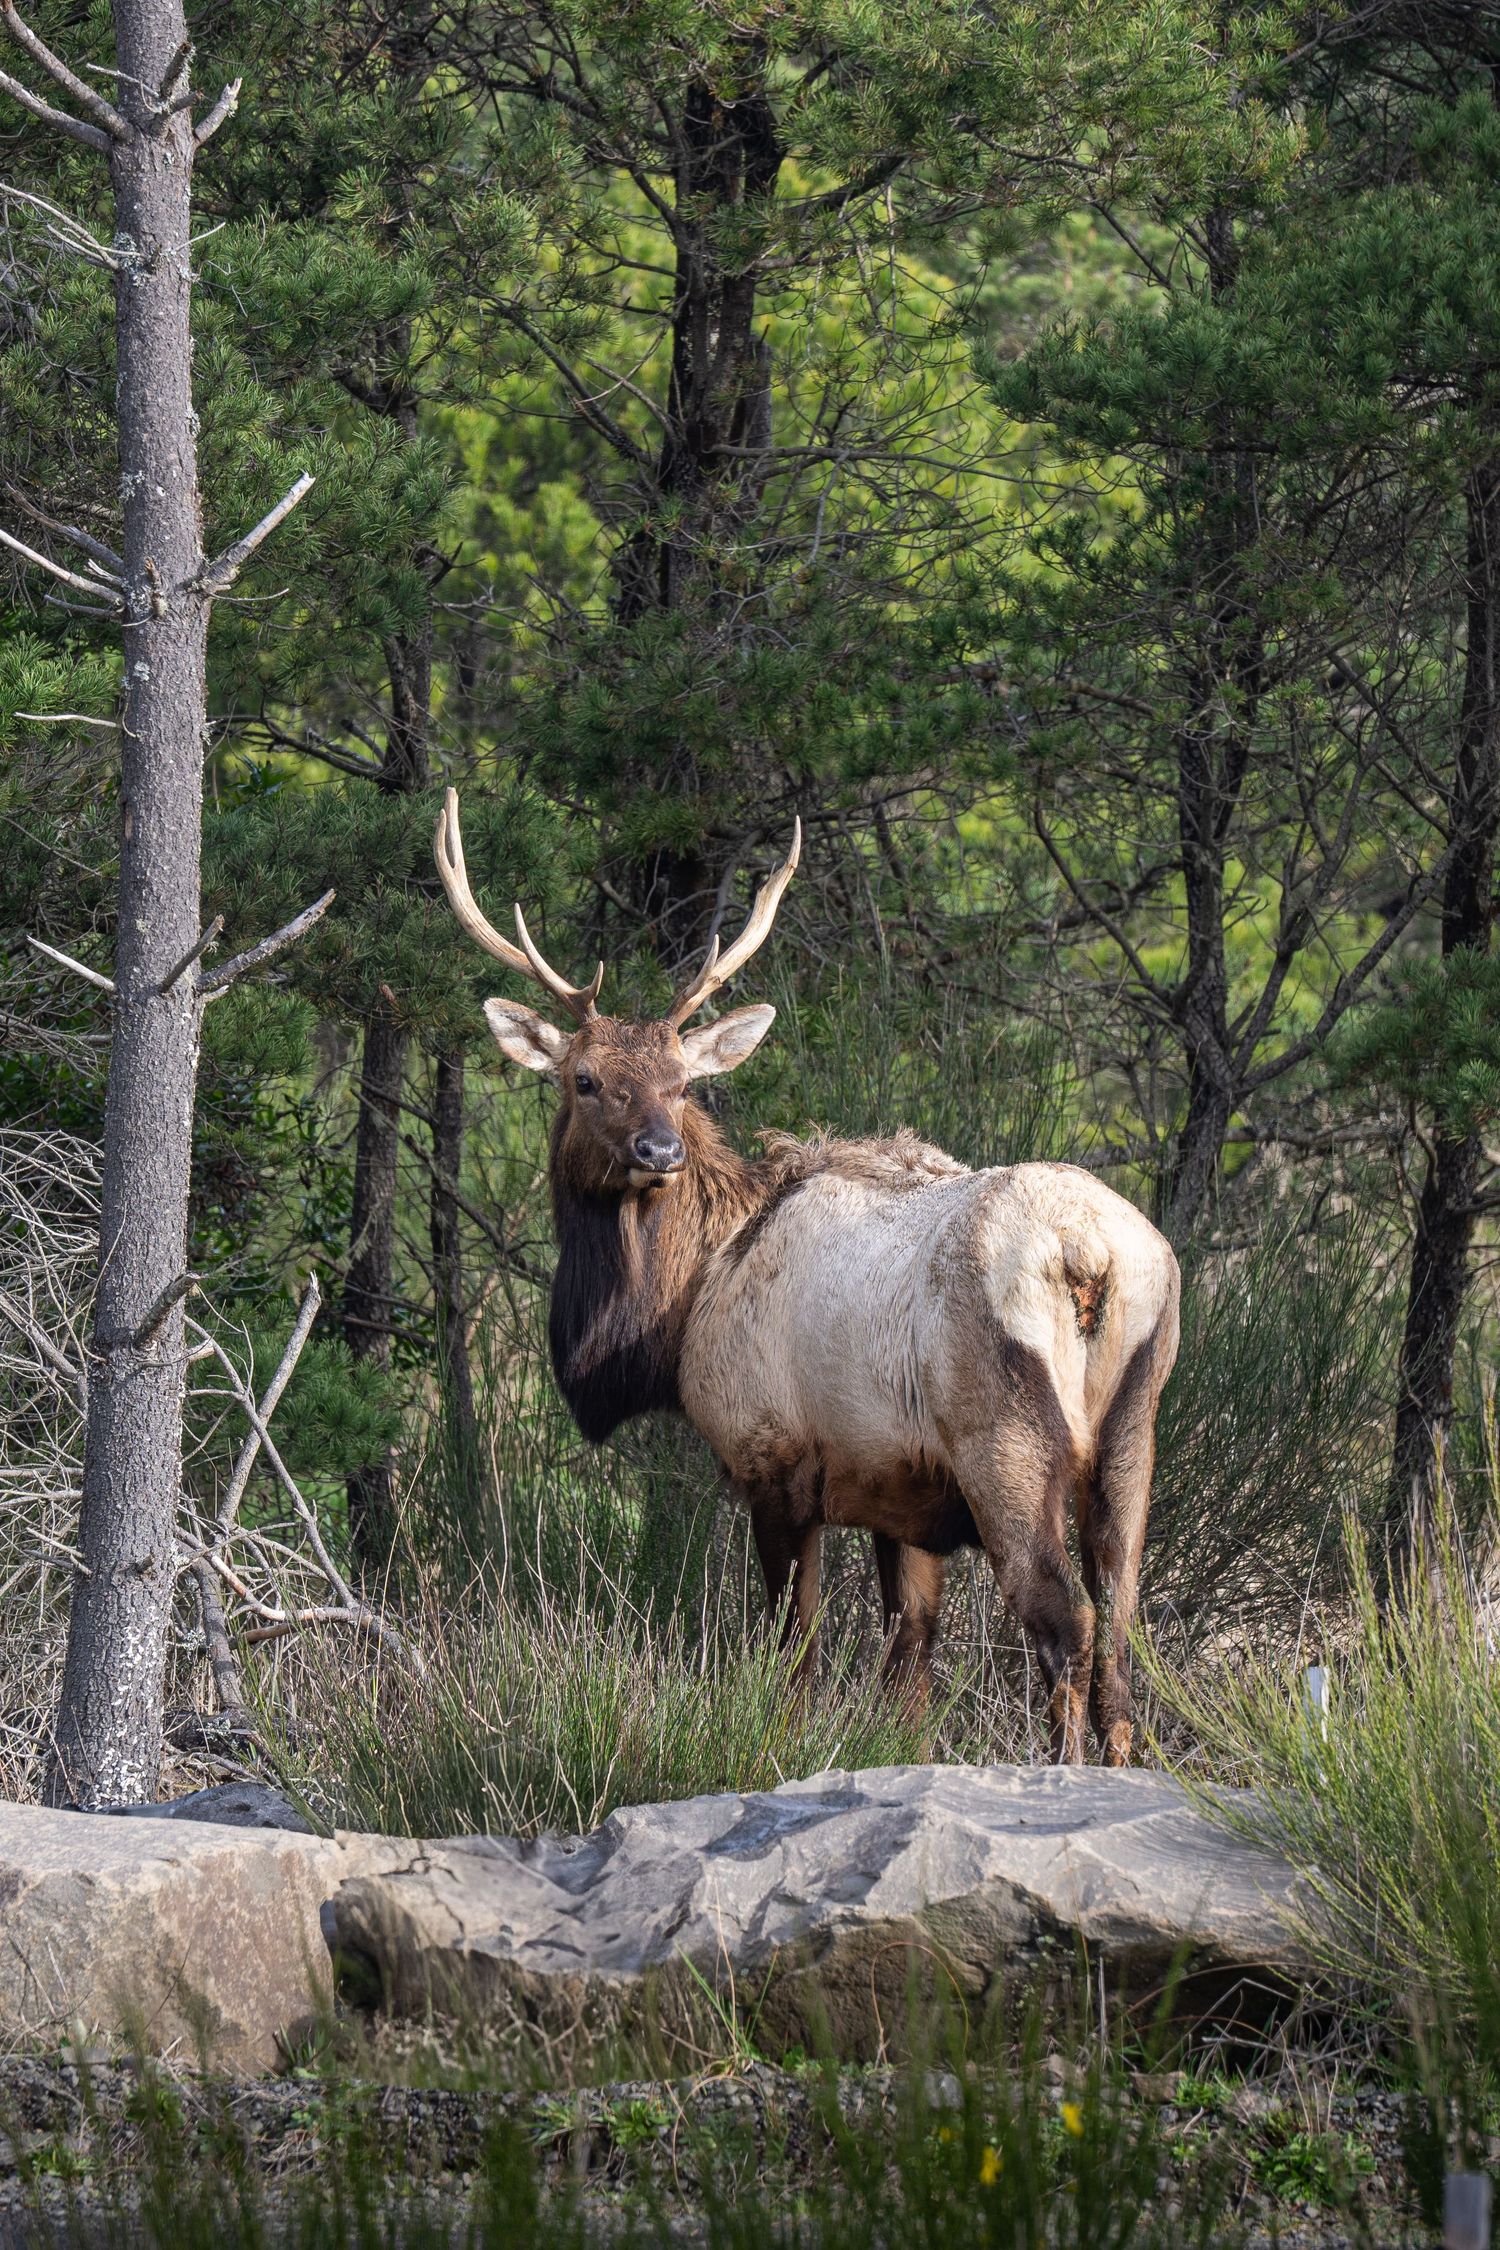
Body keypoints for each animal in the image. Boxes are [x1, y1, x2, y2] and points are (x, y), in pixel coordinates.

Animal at [434, 791, 1180, 1764]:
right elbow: (909, 1666)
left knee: (1067, 1621)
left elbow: (797, 1654)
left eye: (681, 1084)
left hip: (1007, 1440)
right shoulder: (906, 1498)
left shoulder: (774, 1458)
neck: (683, 1306)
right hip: (1135, 1431)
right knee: (1124, 1626)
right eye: (588, 1079)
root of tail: (1091, 1256)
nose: (659, 1151)